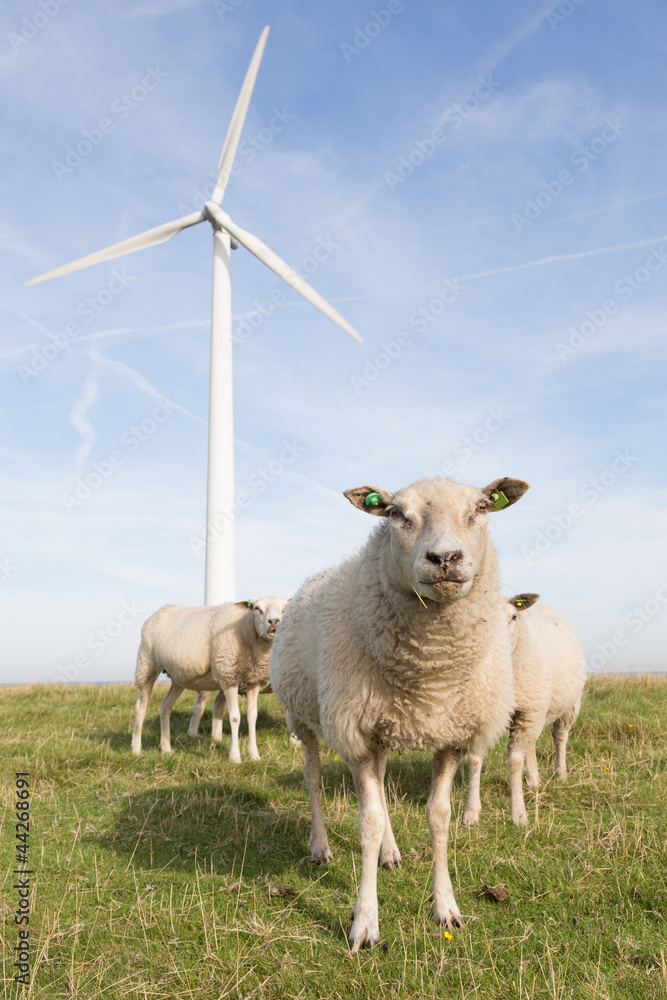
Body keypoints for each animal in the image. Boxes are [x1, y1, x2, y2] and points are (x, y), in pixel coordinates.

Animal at [130, 596, 288, 760]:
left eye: (285, 609)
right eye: (257, 609)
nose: (274, 621)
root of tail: (160, 610)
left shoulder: (254, 681)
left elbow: (252, 717)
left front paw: (254, 755)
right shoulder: (228, 677)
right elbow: (235, 717)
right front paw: (235, 757)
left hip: (178, 678)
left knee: (165, 706)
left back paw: (166, 748)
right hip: (146, 665)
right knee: (140, 707)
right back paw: (136, 749)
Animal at [268, 476, 528, 952]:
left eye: (482, 507)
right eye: (394, 513)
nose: (445, 559)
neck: (430, 679)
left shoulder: (449, 734)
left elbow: (439, 817)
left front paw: (446, 907)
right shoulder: (354, 735)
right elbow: (368, 821)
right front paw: (365, 923)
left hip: (384, 728)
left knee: (384, 782)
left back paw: (390, 853)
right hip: (306, 718)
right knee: (313, 779)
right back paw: (320, 846)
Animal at [462, 592, 588, 828]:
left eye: (513, 617)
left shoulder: (529, 711)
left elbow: (514, 762)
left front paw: (518, 814)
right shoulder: (482, 716)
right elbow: (474, 760)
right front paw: (471, 813)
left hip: (567, 704)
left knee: (560, 736)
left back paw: (560, 773)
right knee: (531, 744)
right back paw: (533, 779)